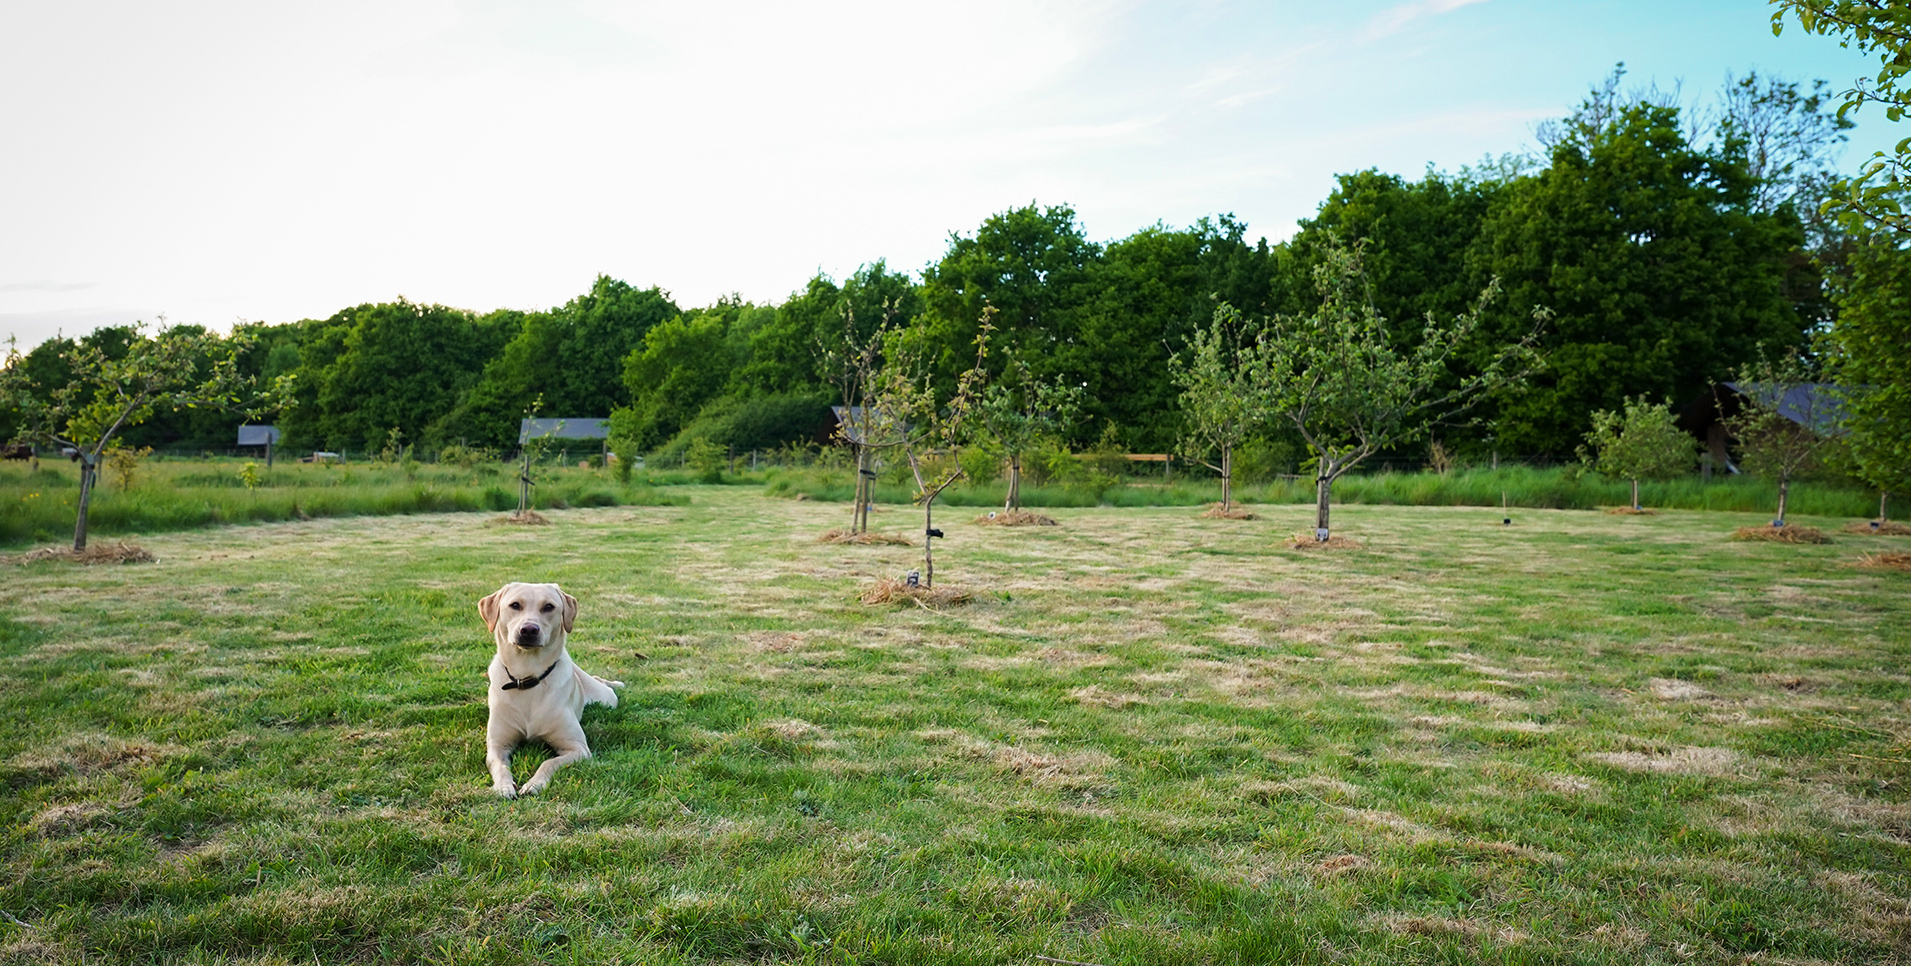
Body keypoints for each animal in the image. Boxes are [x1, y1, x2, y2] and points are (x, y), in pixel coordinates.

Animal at [477, 581, 626, 799]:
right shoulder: (497, 746)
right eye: (515, 605)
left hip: (606, 699)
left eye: (549, 607)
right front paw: (503, 787)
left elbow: (549, 762)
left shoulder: (577, 749)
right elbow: (499, 766)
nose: (529, 629)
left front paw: (534, 784)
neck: (527, 675)